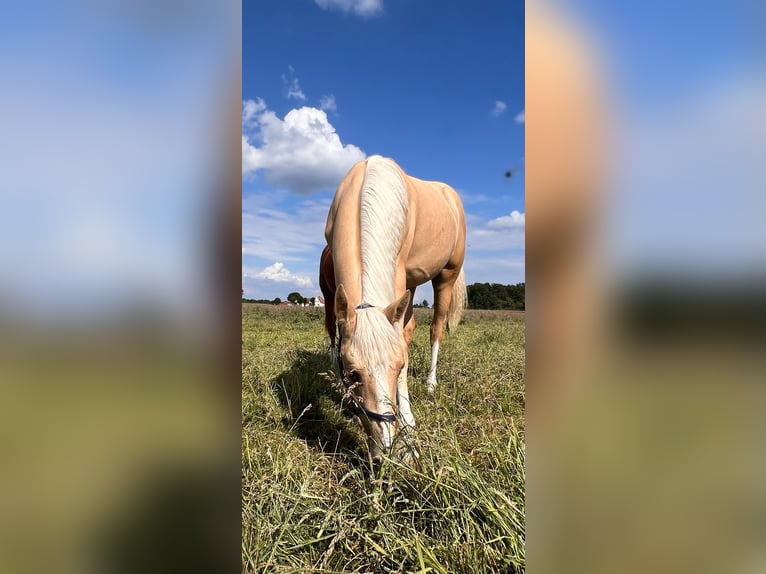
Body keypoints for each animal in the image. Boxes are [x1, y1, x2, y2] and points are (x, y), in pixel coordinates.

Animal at [320, 155, 464, 462]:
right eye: (353, 374)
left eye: (398, 369)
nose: (384, 450)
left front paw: (408, 438)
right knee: (407, 327)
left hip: (446, 275)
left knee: (436, 328)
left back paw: (430, 384)